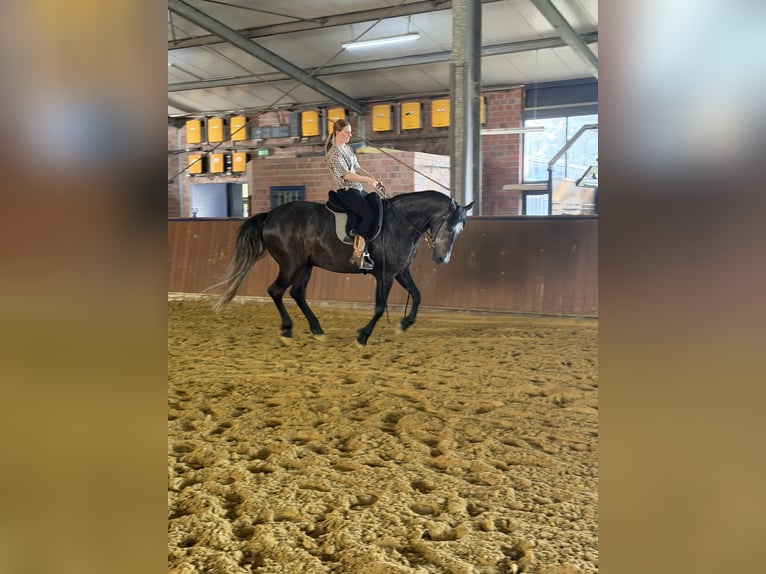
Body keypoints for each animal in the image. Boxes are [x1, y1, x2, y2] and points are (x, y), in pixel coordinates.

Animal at [212, 190, 473, 345]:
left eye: (461, 230)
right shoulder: (386, 275)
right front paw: (363, 336)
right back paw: (287, 330)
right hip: (291, 265)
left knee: (297, 293)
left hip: (306, 265)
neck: (400, 223)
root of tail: (270, 216)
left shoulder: (400, 271)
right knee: (276, 291)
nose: (442, 258)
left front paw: (404, 324)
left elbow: (417, 295)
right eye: (450, 227)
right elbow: (380, 307)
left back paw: (317, 329)